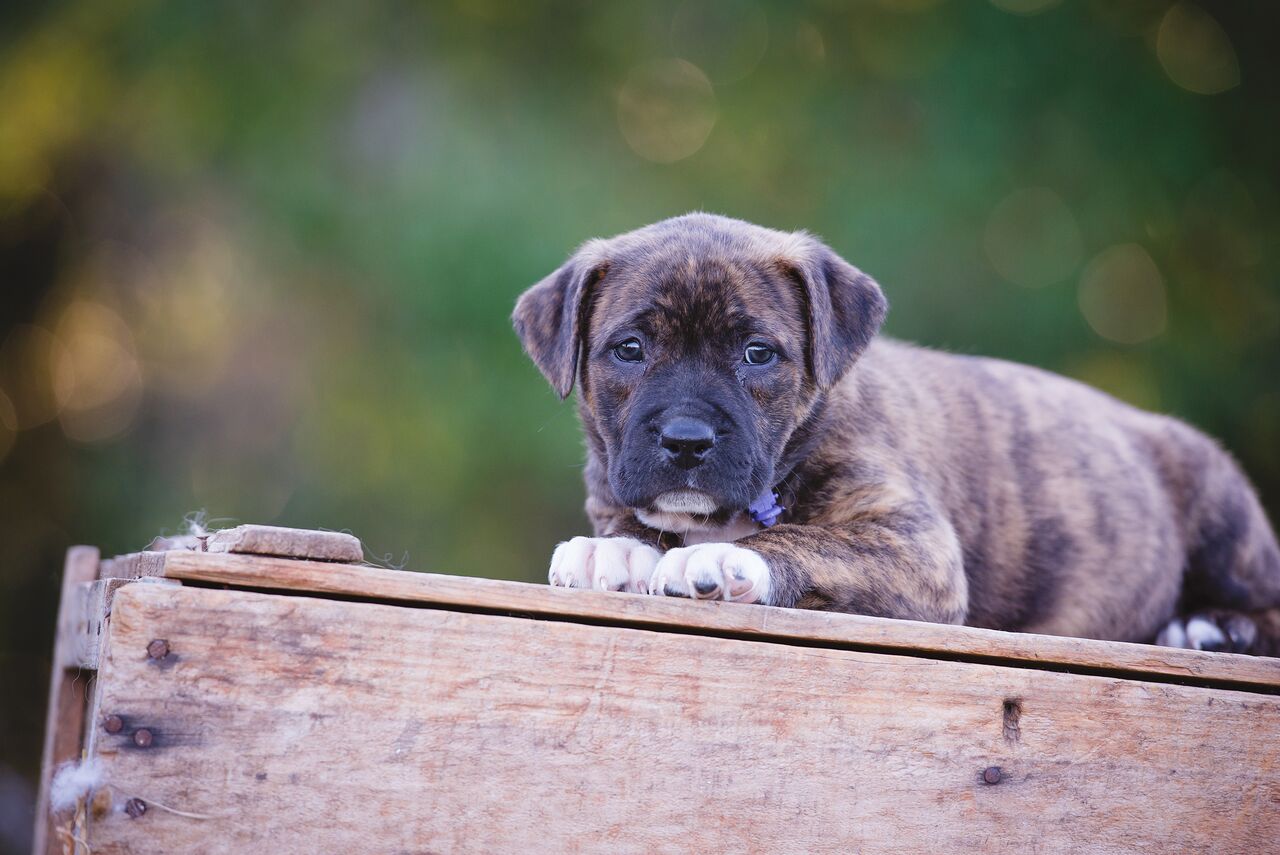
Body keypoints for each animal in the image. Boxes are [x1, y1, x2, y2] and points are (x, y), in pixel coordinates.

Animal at [512, 213, 1280, 655]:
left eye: (758, 353)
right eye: (629, 349)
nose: (686, 439)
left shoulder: (916, 545)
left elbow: (806, 539)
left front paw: (728, 560)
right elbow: (631, 526)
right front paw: (614, 551)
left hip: (1221, 508)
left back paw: (1214, 626)